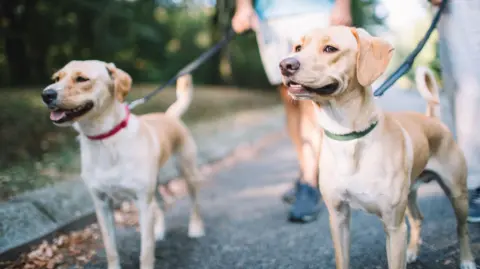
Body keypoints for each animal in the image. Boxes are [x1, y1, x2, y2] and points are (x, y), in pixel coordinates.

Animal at [40, 60, 204, 268]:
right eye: (56, 79)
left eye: (82, 79)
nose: (46, 94)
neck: (104, 138)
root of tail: (170, 116)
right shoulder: (102, 205)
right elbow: (111, 248)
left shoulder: (142, 203)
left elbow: (146, 250)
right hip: (155, 185)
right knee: (160, 203)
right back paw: (159, 231)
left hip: (187, 171)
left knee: (194, 202)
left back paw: (196, 228)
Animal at [278, 25, 476, 268]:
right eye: (298, 47)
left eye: (330, 48)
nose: (285, 64)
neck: (349, 137)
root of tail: (432, 119)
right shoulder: (339, 219)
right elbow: (342, 260)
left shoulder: (394, 227)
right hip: (410, 193)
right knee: (418, 219)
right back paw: (412, 251)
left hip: (457, 194)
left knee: (462, 227)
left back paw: (467, 259)